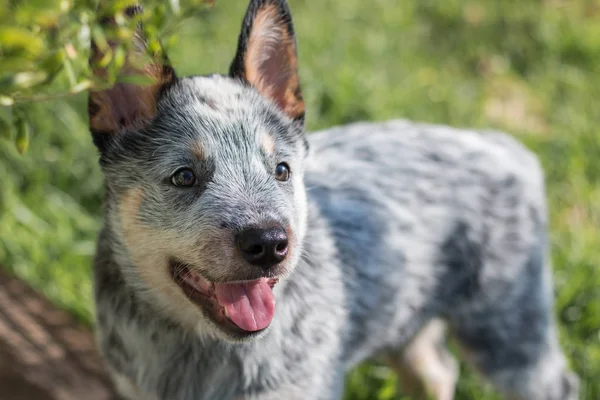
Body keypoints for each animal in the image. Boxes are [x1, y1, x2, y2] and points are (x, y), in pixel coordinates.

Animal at [86, 0, 580, 400]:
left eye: (282, 170)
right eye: (184, 176)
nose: (270, 243)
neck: (196, 348)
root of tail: (500, 142)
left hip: (510, 331)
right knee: (437, 371)